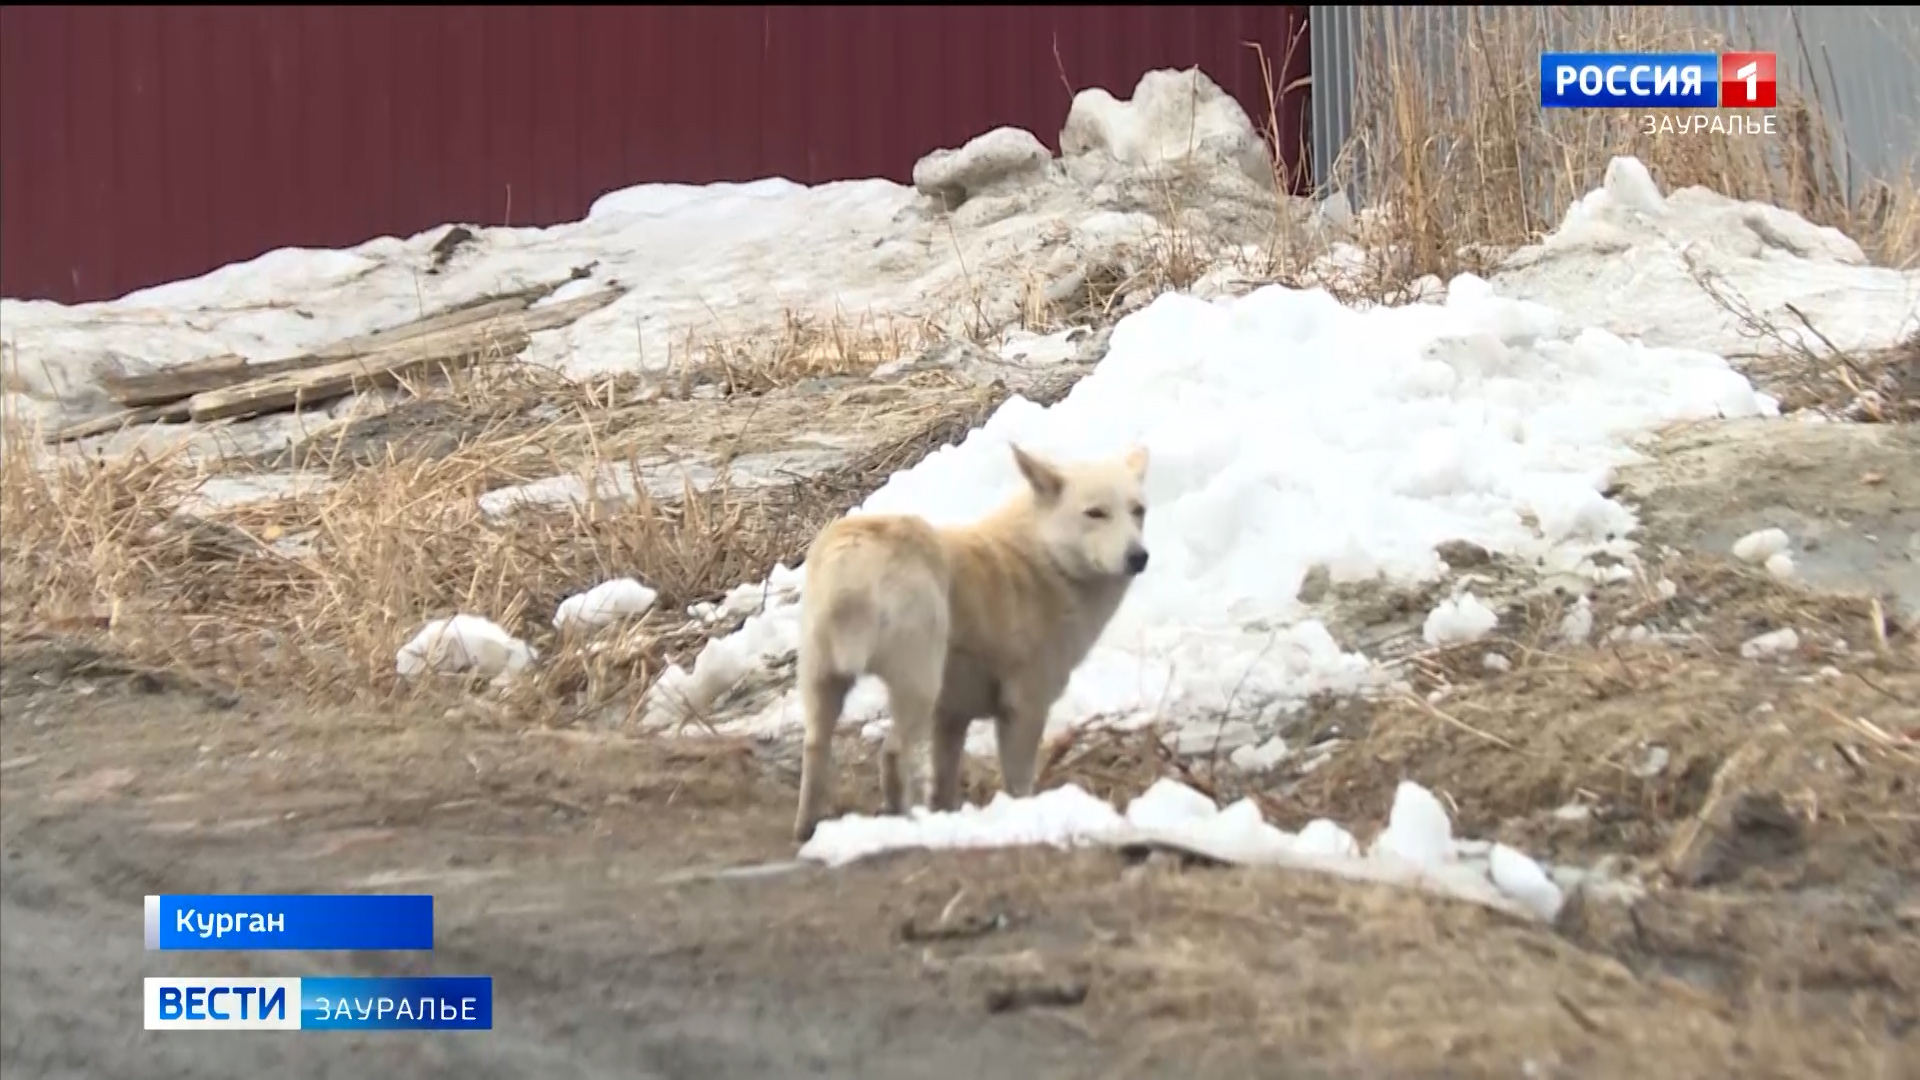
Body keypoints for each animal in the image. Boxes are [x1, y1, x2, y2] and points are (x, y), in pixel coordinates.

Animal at [787, 441, 1144, 837]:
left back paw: (806, 827)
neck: (1047, 558)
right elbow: (1019, 783)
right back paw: (903, 819)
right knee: (893, 753)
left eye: (1138, 511)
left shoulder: (952, 715)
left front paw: (945, 814)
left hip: (823, 680)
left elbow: (943, 783)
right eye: (1095, 513)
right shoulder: (1024, 708)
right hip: (918, 684)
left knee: (815, 748)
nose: (1139, 557)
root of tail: (852, 557)